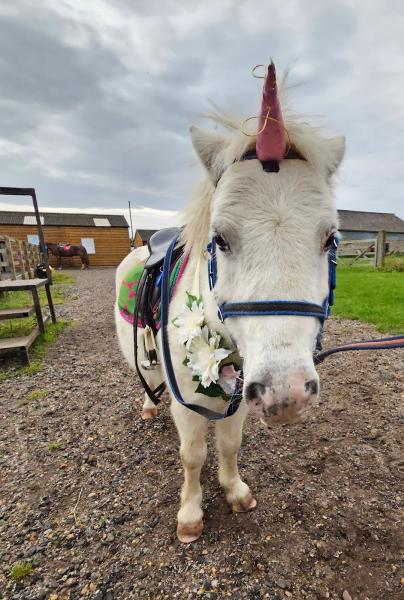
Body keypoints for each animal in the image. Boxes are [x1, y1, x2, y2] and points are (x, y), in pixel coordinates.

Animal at [113, 64, 344, 544]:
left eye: (330, 239)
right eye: (219, 238)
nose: (288, 393)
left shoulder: (241, 389)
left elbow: (229, 445)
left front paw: (234, 490)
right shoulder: (187, 403)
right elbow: (193, 454)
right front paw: (190, 512)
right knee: (145, 376)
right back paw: (148, 405)